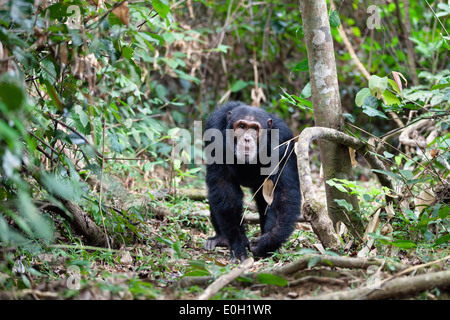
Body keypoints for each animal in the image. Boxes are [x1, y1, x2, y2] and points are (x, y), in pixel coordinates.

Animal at [203, 101, 300, 262]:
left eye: (255, 128)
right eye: (242, 126)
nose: (247, 138)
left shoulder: (283, 140)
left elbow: (284, 192)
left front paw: (266, 242)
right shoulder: (214, 129)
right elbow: (224, 187)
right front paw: (238, 244)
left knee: (265, 202)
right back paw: (222, 238)